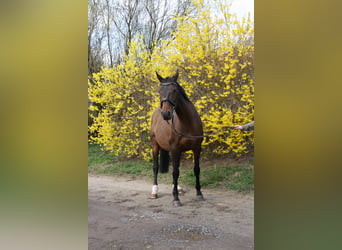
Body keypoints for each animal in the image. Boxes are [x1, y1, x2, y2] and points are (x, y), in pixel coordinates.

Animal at [149, 69, 203, 206]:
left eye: (174, 90)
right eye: (159, 91)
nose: (166, 114)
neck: (187, 122)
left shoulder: (196, 148)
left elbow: (196, 169)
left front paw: (199, 193)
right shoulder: (174, 149)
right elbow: (175, 172)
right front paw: (175, 198)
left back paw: (177, 187)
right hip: (155, 145)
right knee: (156, 167)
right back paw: (154, 191)